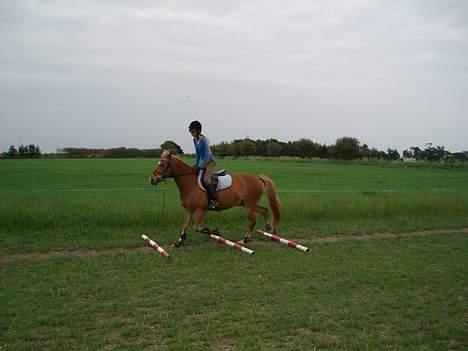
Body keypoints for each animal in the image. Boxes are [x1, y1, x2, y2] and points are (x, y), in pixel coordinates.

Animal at [151, 151, 282, 248]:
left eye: (162, 165)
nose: (152, 179)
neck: (191, 183)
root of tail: (257, 178)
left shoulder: (201, 210)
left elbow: (197, 227)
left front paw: (214, 231)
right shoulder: (189, 210)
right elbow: (185, 226)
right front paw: (179, 242)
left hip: (249, 205)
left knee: (252, 221)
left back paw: (245, 240)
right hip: (247, 204)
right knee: (265, 210)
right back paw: (269, 228)